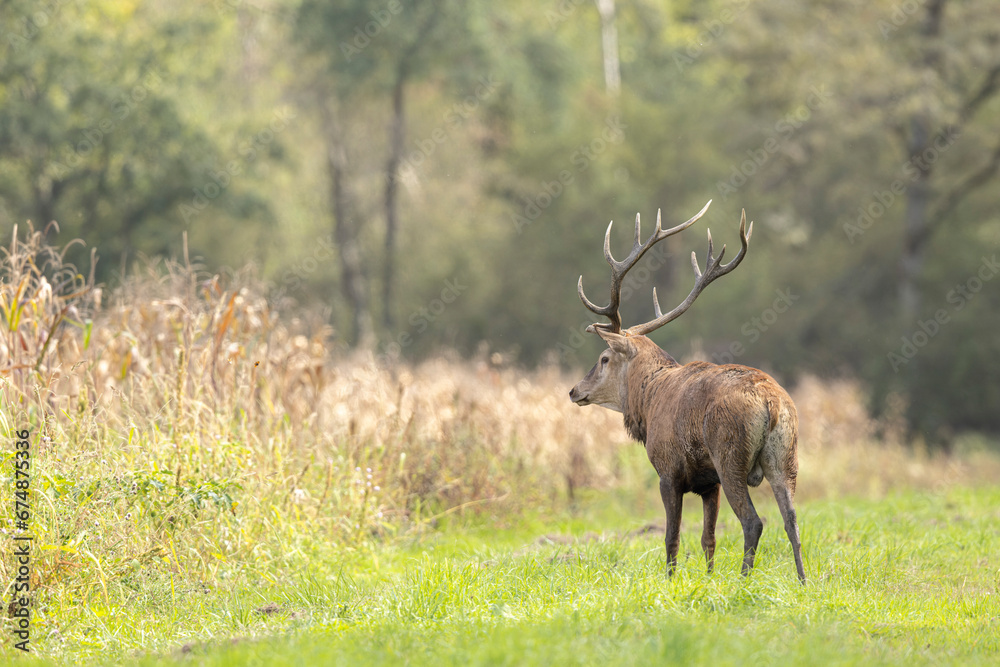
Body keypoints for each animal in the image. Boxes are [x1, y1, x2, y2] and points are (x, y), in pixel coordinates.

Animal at [568, 200, 806, 584]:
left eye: (603, 358)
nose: (574, 391)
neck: (646, 405)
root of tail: (772, 403)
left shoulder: (669, 471)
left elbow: (672, 536)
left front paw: (670, 581)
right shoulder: (709, 484)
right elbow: (708, 538)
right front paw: (707, 578)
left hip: (730, 454)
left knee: (754, 521)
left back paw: (743, 580)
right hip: (786, 456)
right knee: (792, 520)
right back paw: (802, 580)